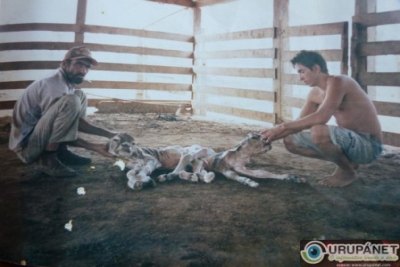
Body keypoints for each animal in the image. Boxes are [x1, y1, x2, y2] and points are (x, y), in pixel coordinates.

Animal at [108, 133, 302, 189]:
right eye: (256, 137)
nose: (269, 142)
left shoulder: (236, 169)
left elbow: (262, 173)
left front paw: (293, 178)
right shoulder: (219, 165)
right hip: (152, 160)